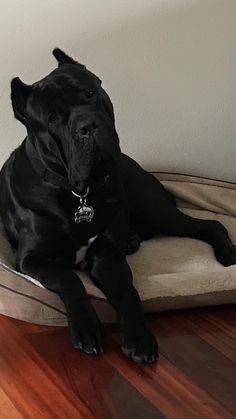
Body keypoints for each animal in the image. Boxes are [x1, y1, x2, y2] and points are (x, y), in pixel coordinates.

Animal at [0, 48, 235, 364]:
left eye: (90, 92)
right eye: (52, 118)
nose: (88, 126)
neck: (79, 192)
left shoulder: (107, 257)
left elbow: (128, 292)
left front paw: (139, 337)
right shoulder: (31, 259)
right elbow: (69, 279)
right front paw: (87, 328)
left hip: (154, 208)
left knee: (211, 224)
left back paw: (228, 253)